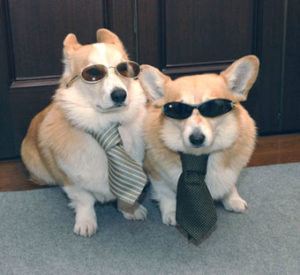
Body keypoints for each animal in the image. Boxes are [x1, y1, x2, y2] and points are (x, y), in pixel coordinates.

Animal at [20, 29, 147, 238]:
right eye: (93, 74)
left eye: (124, 69)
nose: (120, 95)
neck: (106, 124)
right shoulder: (71, 179)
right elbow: (84, 201)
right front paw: (86, 222)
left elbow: (125, 194)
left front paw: (131, 209)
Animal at [139, 55, 258, 226]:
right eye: (176, 109)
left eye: (215, 106)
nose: (196, 138)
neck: (200, 156)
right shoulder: (155, 172)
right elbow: (166, 193)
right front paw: (171, 211)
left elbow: (230, 183)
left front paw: (232, 198)